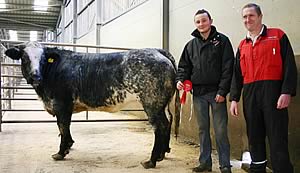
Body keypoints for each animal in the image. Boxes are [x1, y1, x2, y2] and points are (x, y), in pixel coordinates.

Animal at [4, 42, 180, 169]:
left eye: (42, 59)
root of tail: (157, 51)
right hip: (162, 104)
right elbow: (64, 128)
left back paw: (151, 161)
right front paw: (68, 147)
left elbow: (63, 126)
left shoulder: (62, 104)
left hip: (152, 102)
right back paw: (162, 154)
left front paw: (61, 152)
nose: (35, 76)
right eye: (25, 58)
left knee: (160, 126)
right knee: (168, 122)